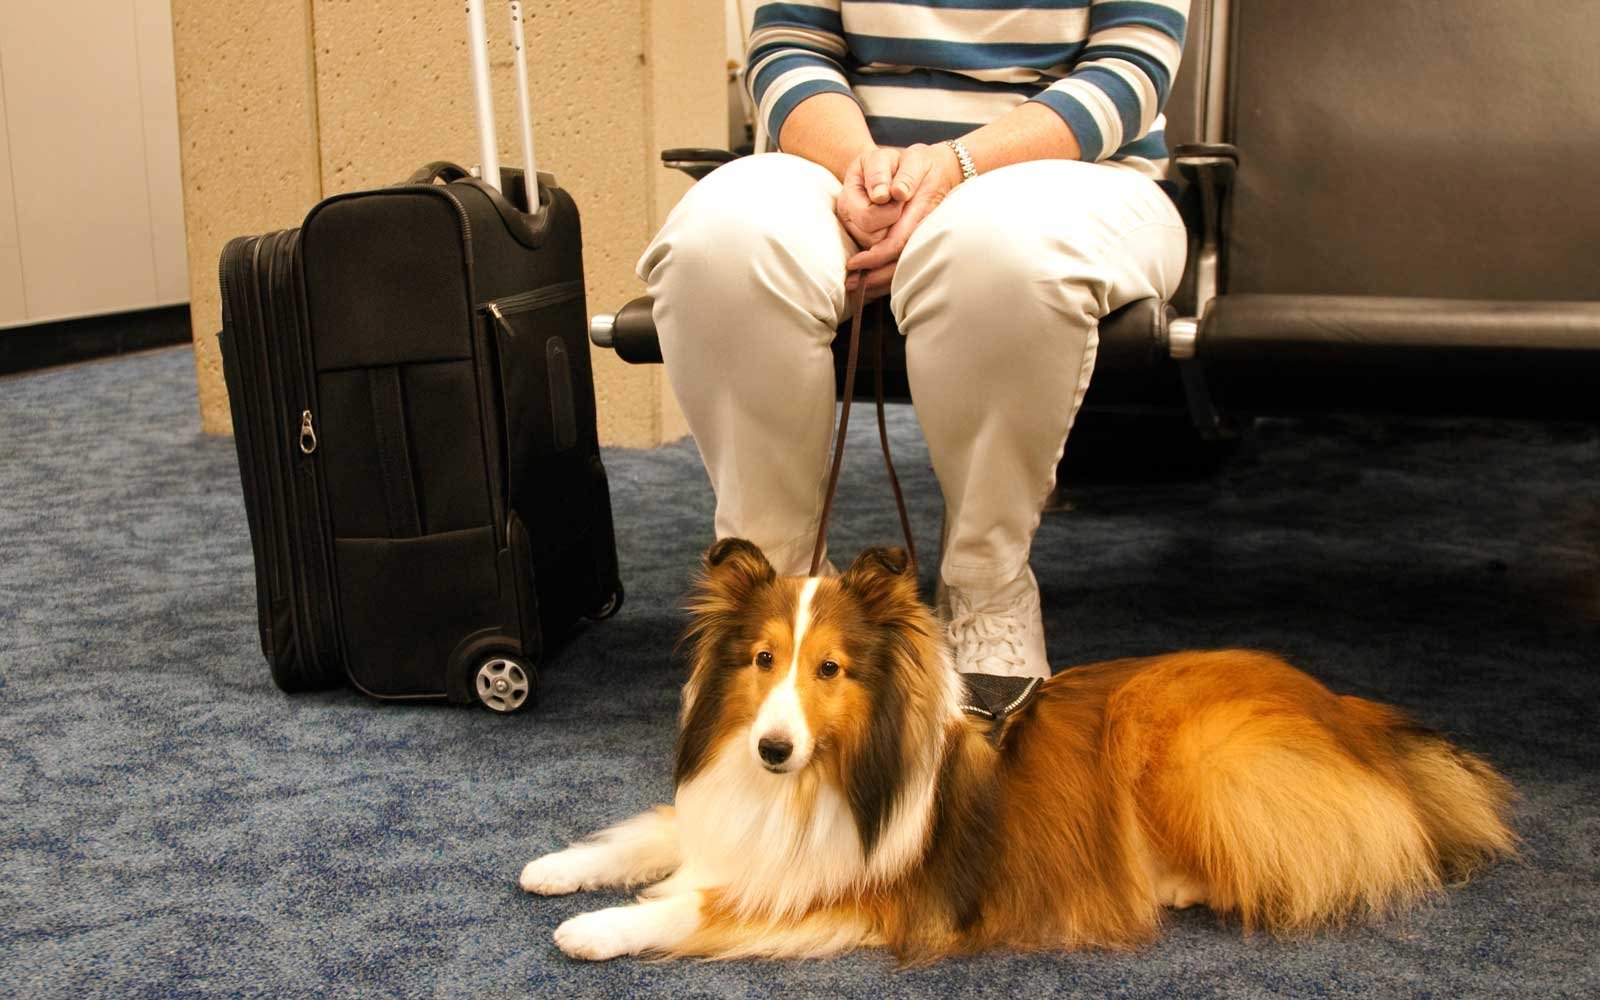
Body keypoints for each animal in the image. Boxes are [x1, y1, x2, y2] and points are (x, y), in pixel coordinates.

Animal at [521, 537, 1510, 960]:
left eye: (831, 668)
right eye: (764, 660)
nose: (771, 748)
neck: (818, 780)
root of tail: (1346, 711)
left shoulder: (857, 891)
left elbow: (699, 906)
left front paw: (597, 928)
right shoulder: (725, 818)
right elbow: (649, 834)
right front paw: (554, 868)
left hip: (1190, 749)